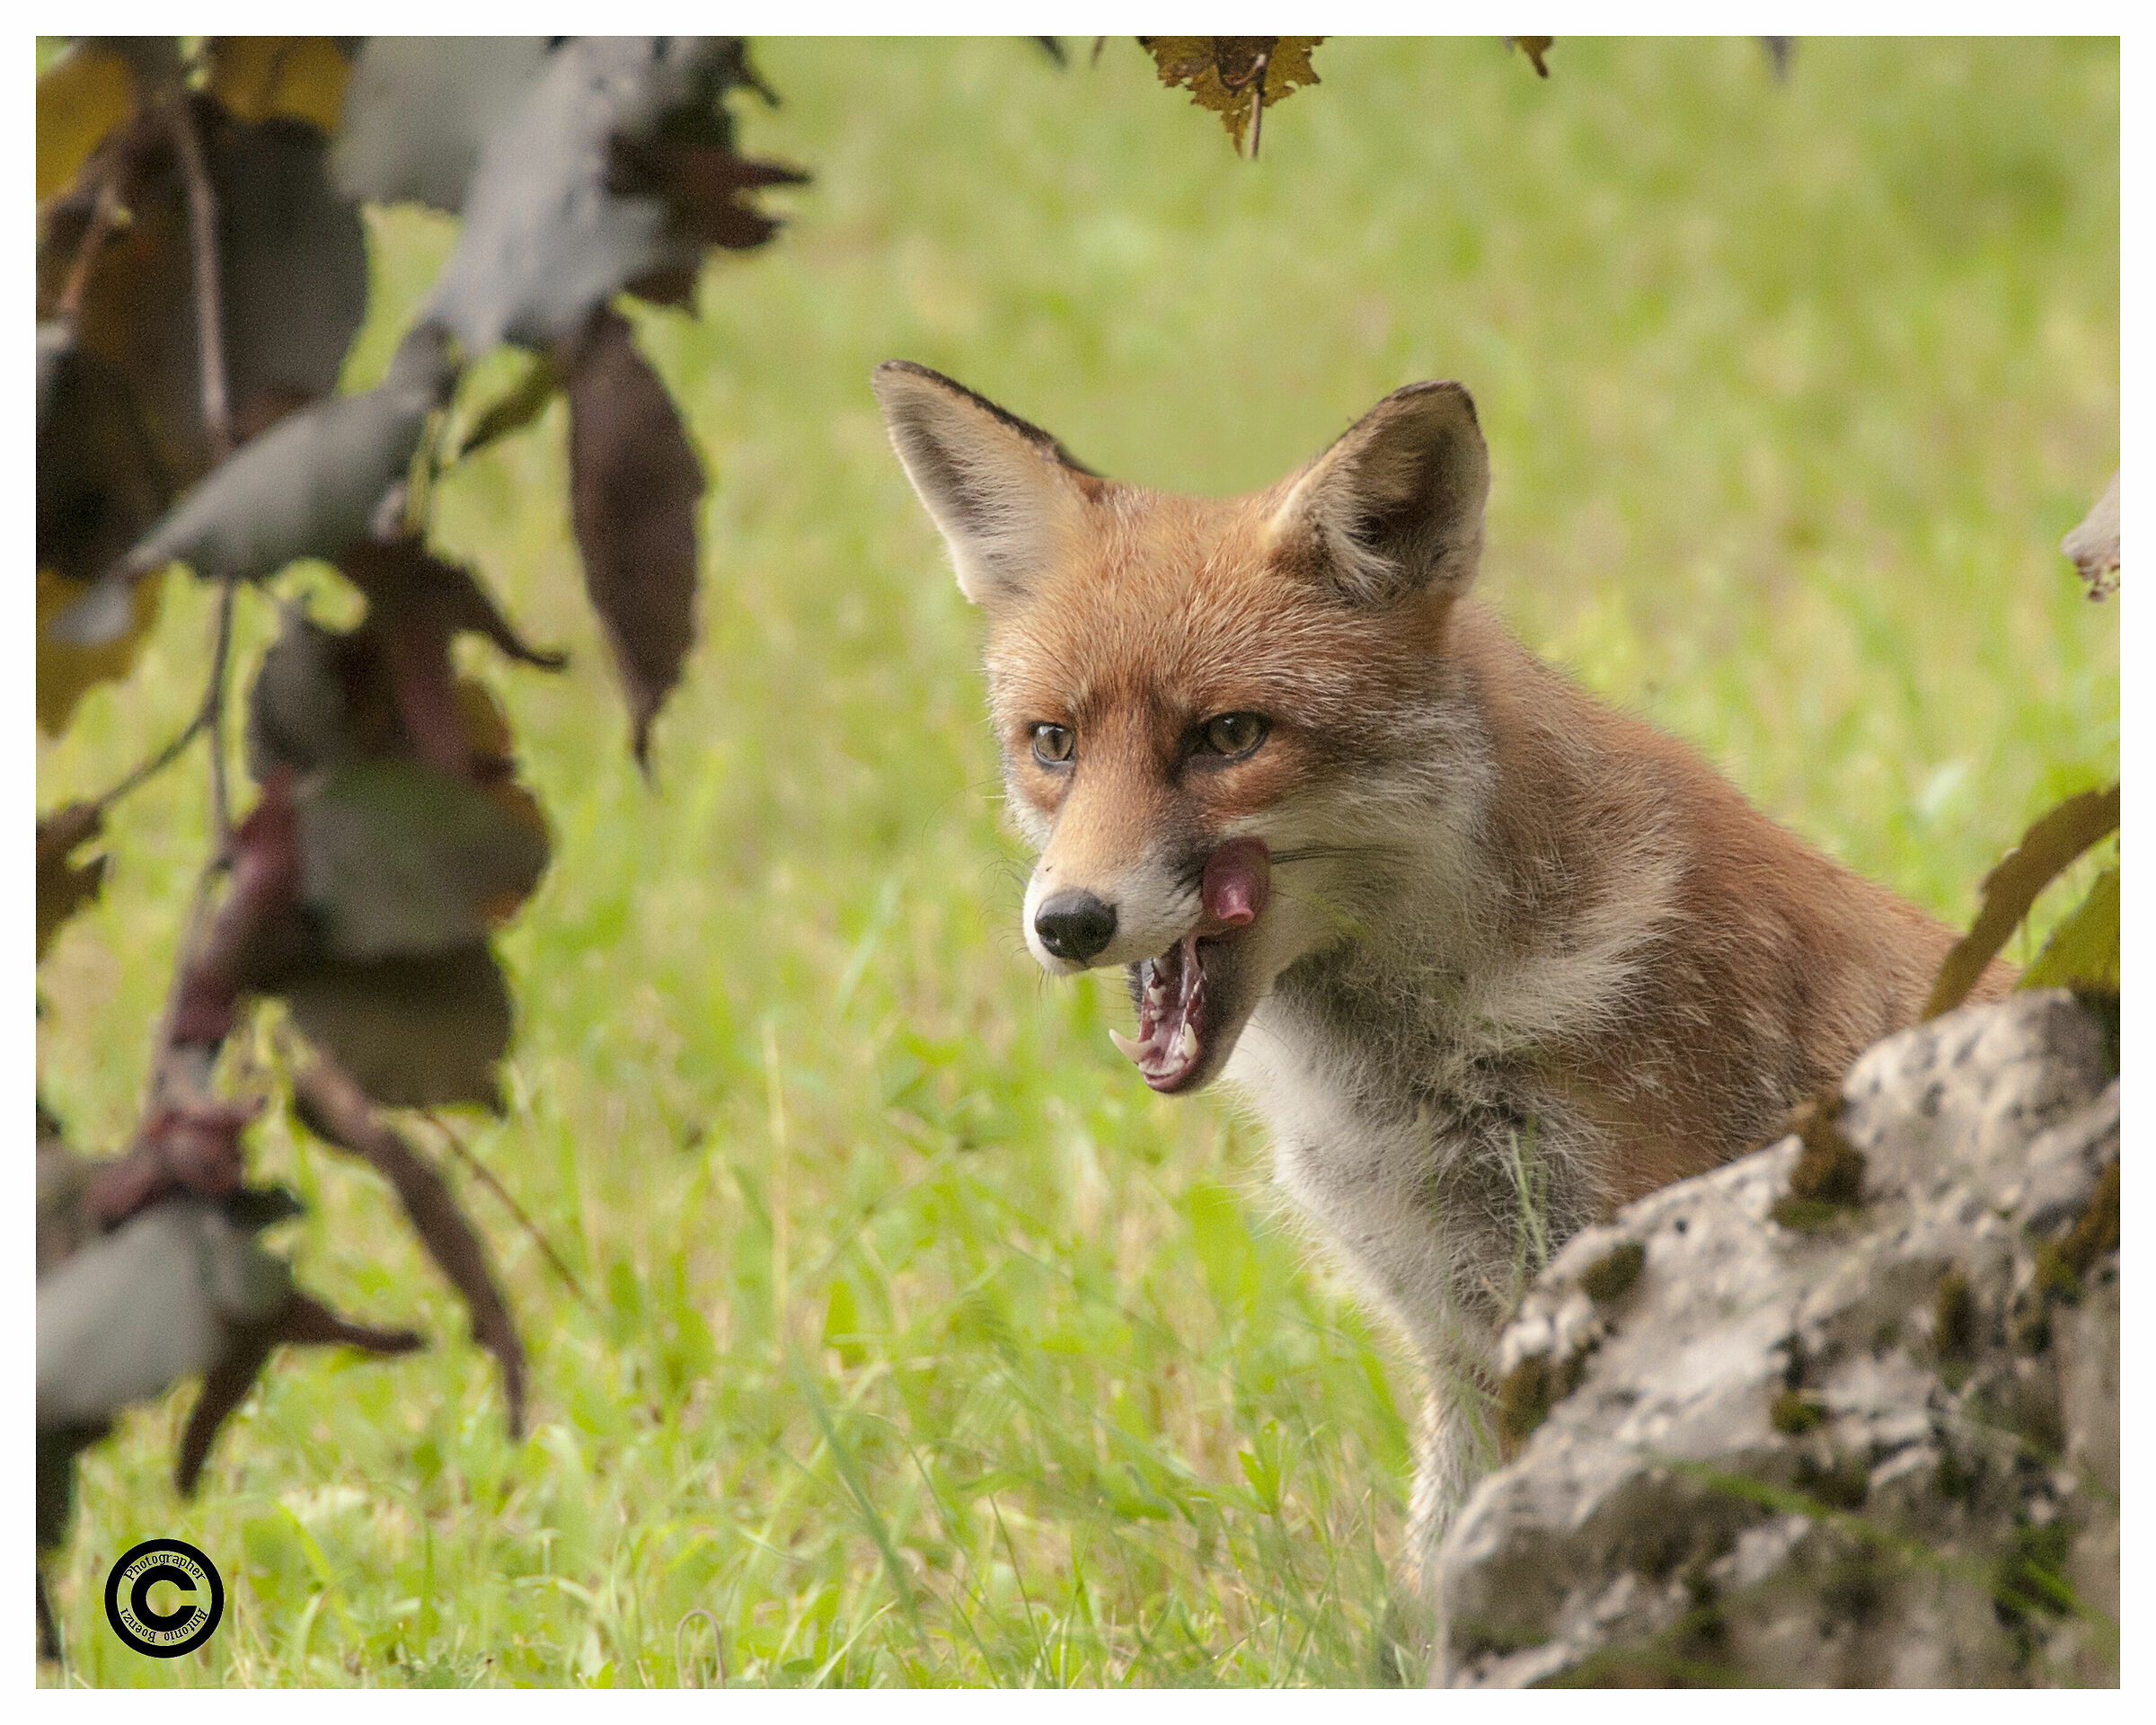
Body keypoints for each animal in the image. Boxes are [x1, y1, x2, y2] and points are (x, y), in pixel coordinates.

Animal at [871, 360, 2007, 1596]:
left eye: (1228, 737)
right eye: (1054, 744)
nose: (1069, 923)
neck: (1413, 1066)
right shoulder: (1458, 1339)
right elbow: (1439, 1576)